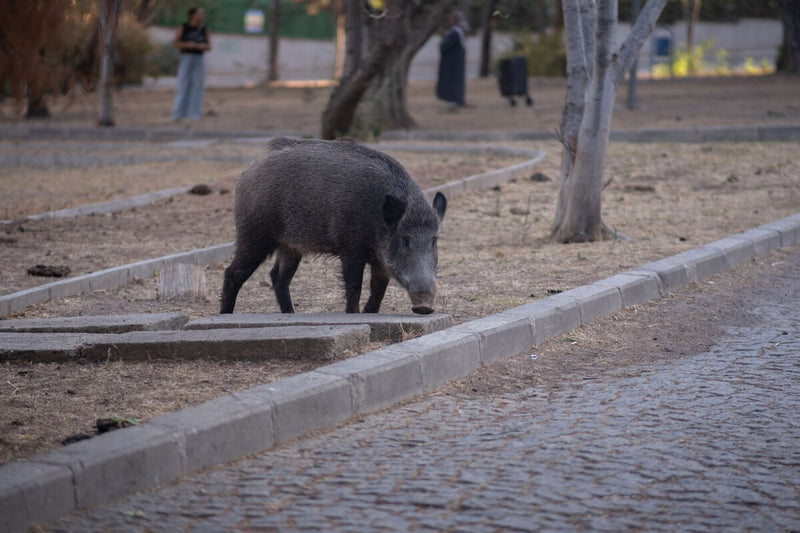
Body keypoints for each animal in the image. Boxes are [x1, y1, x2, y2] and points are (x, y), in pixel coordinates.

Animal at [220, 137, 447, 315]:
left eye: (434, 241)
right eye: (405, 239)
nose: (424, 307)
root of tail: (248, 172)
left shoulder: (381, 261)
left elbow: (378, 290)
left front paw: (370, 313)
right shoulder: (350, 249)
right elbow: (354, 287)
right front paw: (354, 314)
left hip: (290, 247)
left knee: (278, 277)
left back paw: (290, 314)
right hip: (254, 236)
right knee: (233, 273)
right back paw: (225, 314)